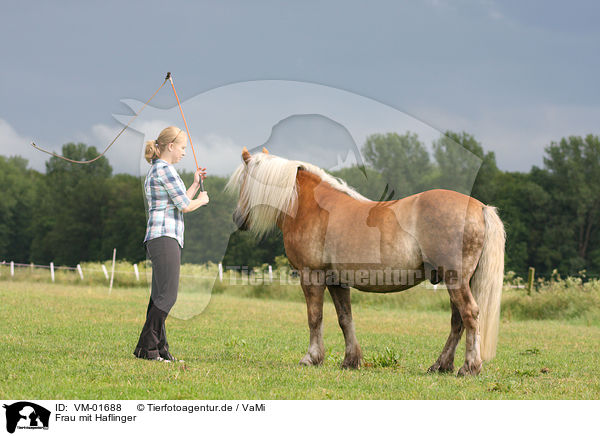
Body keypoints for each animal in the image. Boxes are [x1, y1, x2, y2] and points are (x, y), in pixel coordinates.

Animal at [226, 146, 506, 374]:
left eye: (244, 182)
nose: (237, 218)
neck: (310, 207)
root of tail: (479, 207)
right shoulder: (337, 281)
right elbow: (345, 318)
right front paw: (351, 360)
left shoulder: (311, 275)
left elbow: (315, 317)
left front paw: (311, 358)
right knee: (457, 320)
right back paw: (441, 365)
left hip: (455, 278)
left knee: (469, 314)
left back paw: (469, 367)